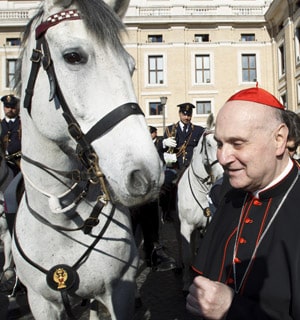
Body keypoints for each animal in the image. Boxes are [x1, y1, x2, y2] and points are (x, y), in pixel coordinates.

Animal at [11, 0, 163, 320]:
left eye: (131, 66)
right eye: (73, 56)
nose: (146, 174)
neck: (65, 218)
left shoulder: (117, 291)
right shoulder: (41, 301)